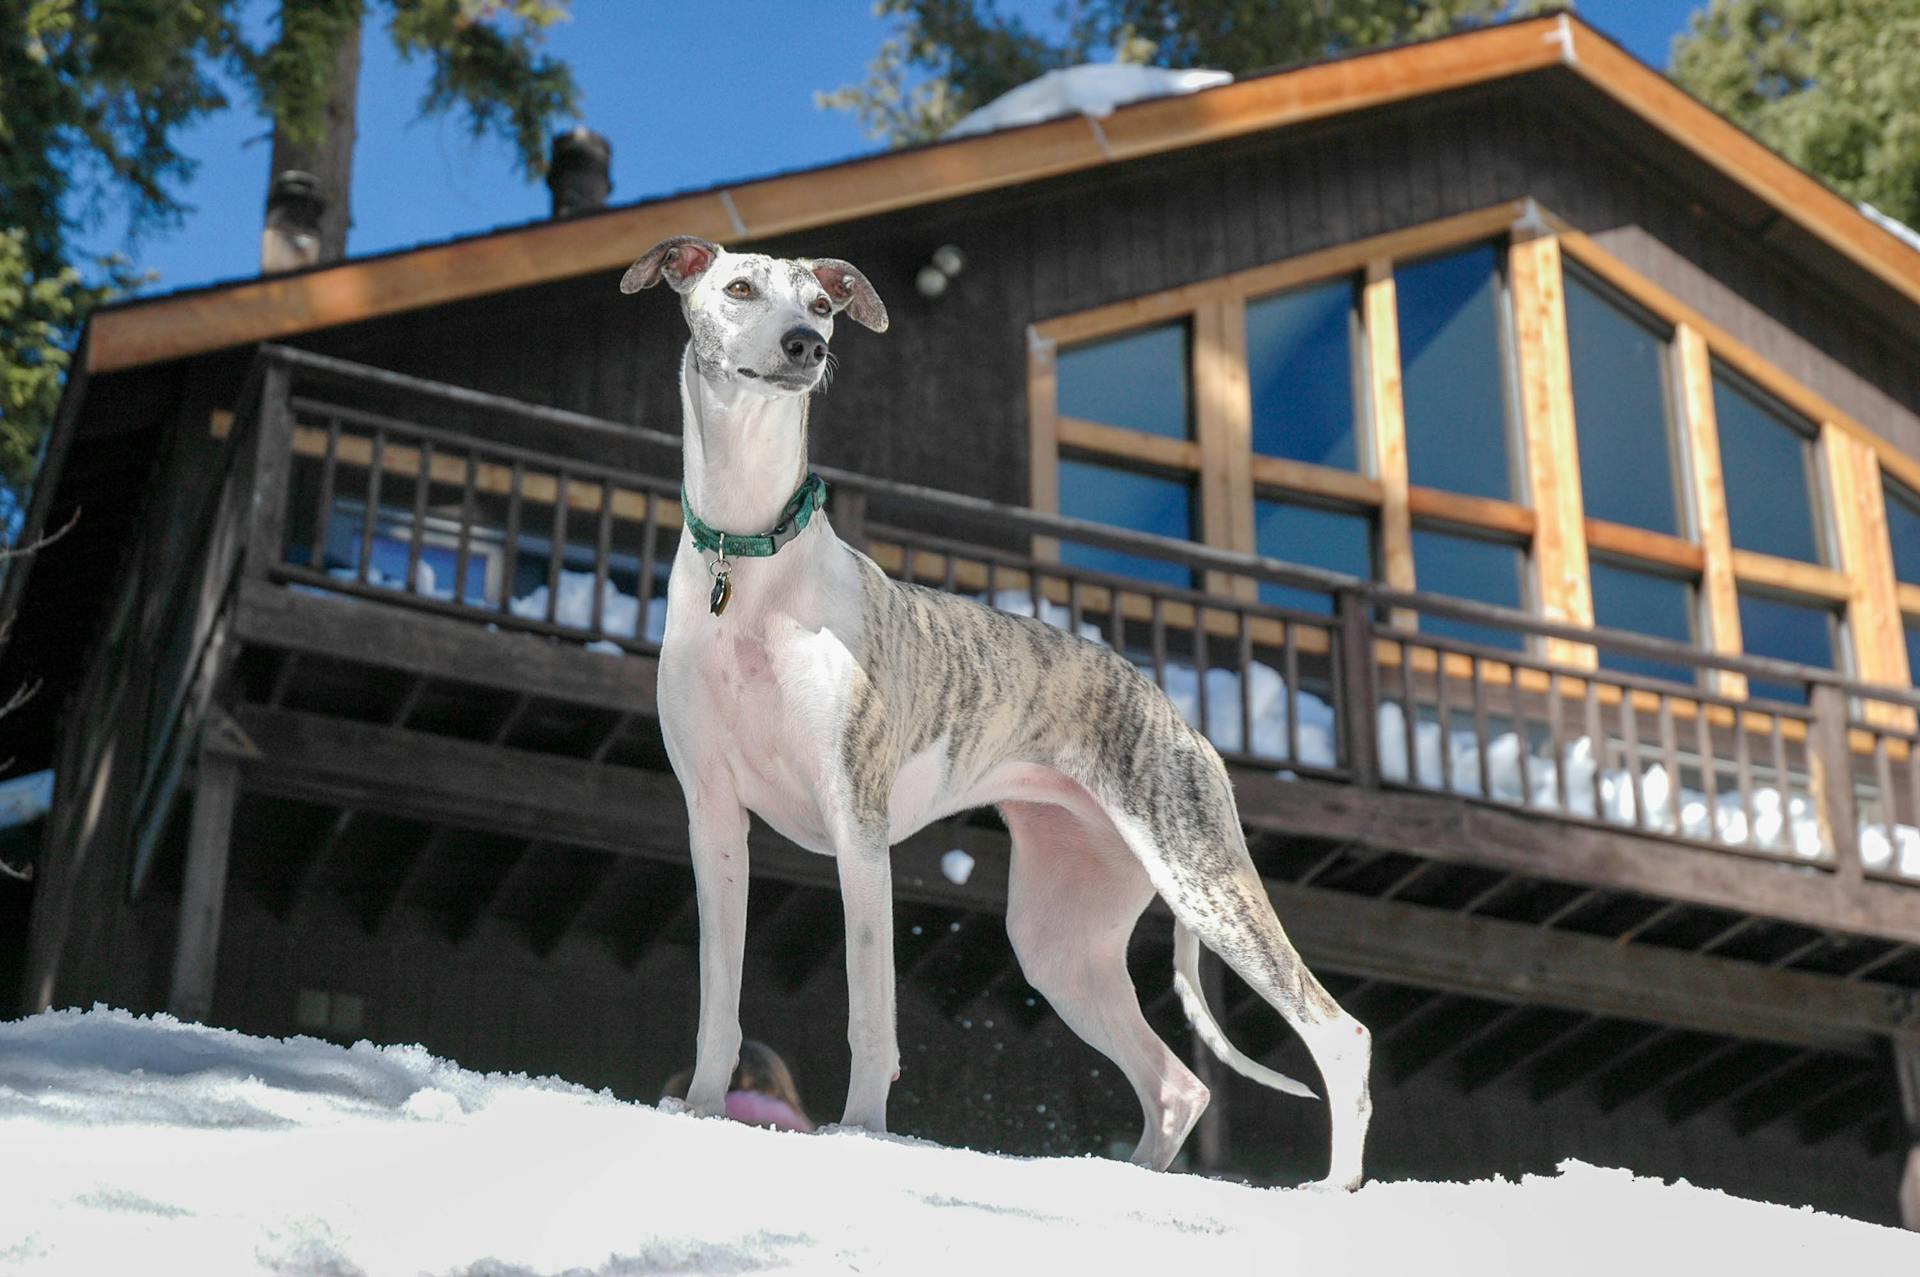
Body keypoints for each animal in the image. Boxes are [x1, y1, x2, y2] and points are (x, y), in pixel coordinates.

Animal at [625, 236, 1367, 1182]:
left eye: (823, 305)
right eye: (741, 288)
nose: (805, 347)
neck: (750, 558)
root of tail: (1183, 720)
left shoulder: (857, 826)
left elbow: (871, 1011)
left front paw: (860, 1133)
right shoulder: (714, 819)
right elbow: (719, 997)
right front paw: (700, 1111)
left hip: (1205, 881)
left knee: (1338, 1031)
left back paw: (1336, 1187)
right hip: (1060, 939)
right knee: (1178, 1084)